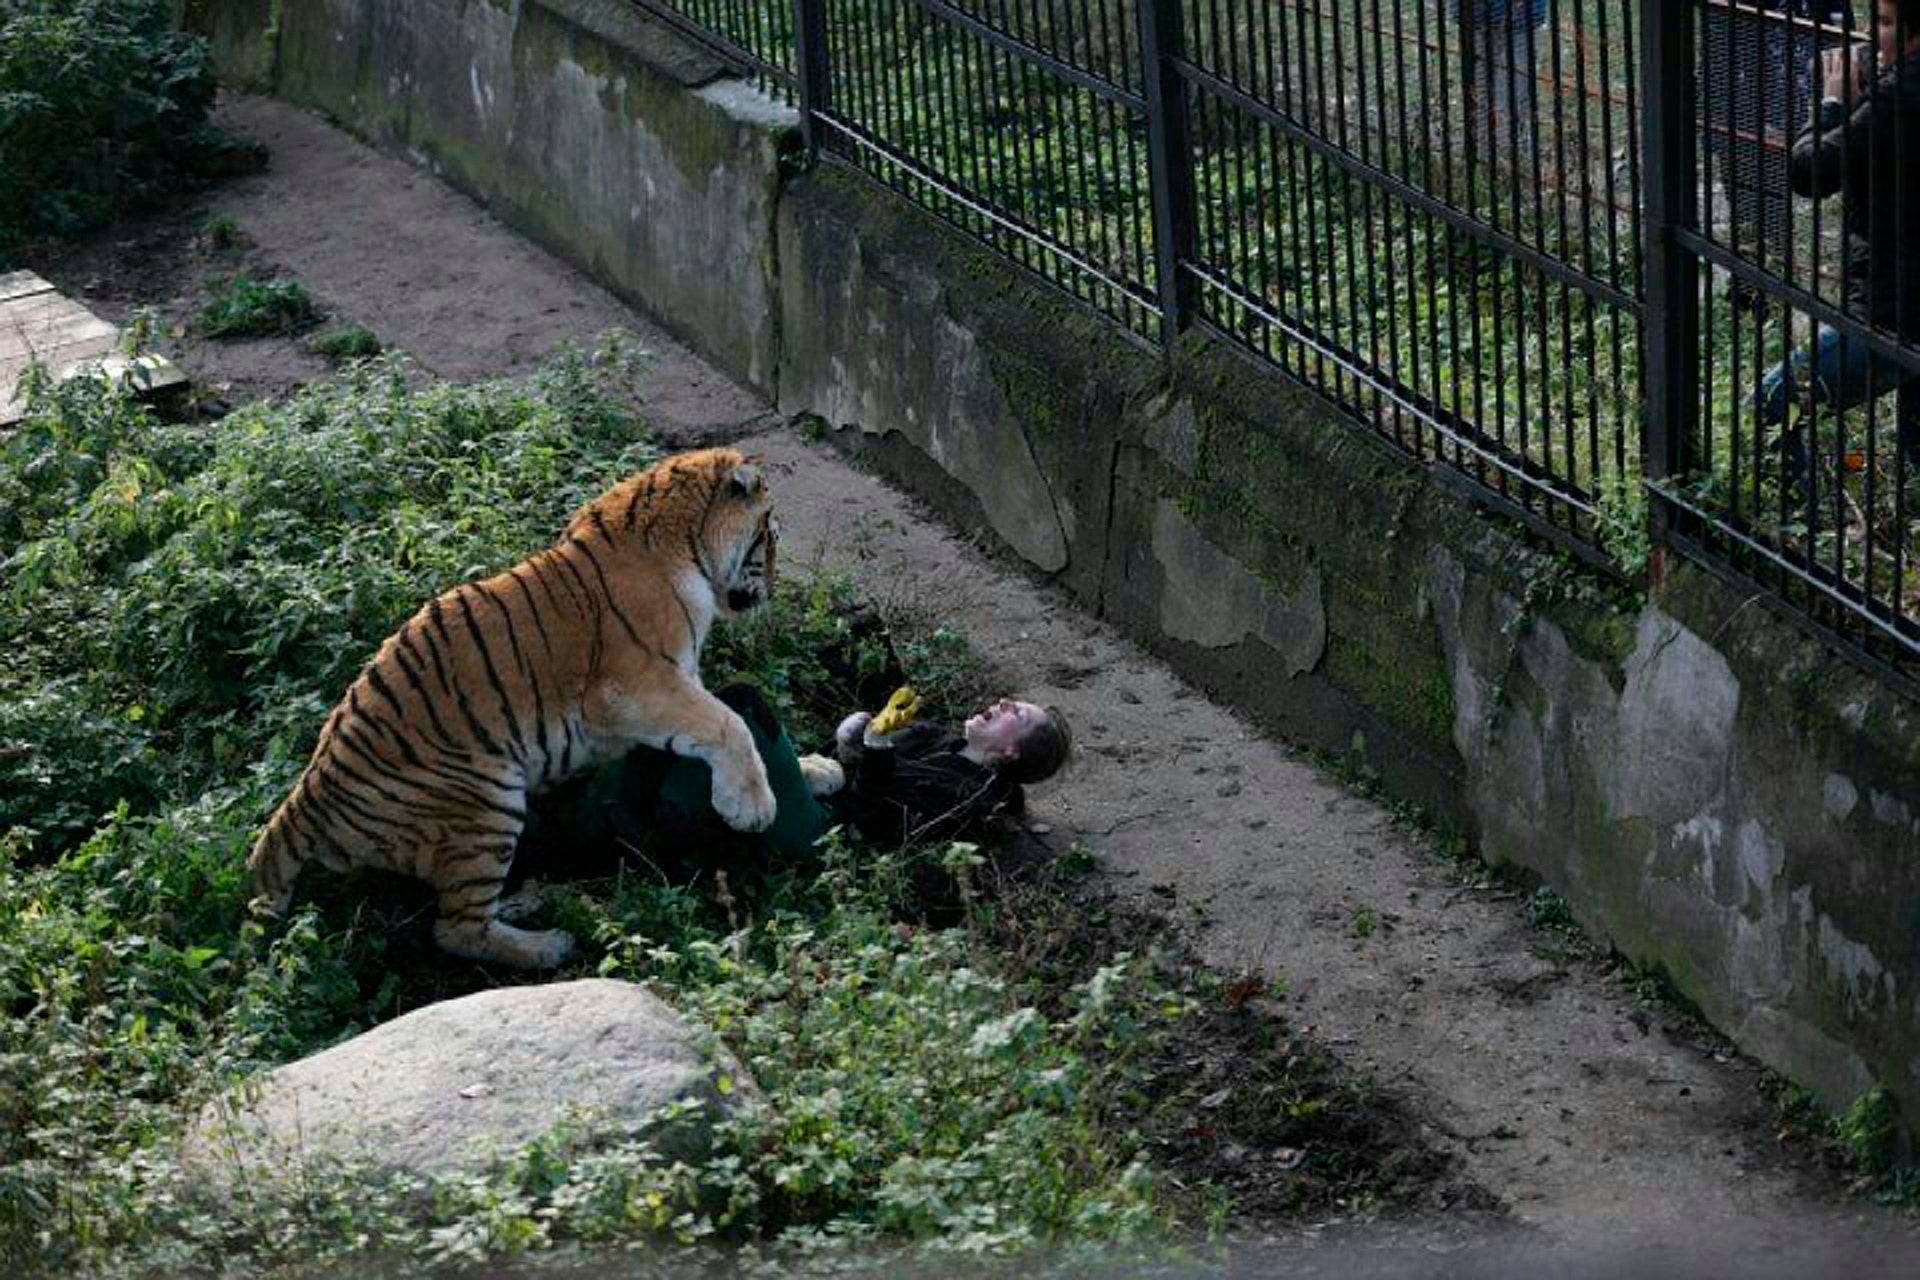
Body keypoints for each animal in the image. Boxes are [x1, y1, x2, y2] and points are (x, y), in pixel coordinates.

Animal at [245, 445, 779, 967]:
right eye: (770, 537)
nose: (773, 587)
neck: (688, 543)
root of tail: (305, 800)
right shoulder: (632, 686)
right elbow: (728, 724)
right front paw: (752, 808)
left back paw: (528, 900)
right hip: (486, 802)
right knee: (456, 929)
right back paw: (548, 946)